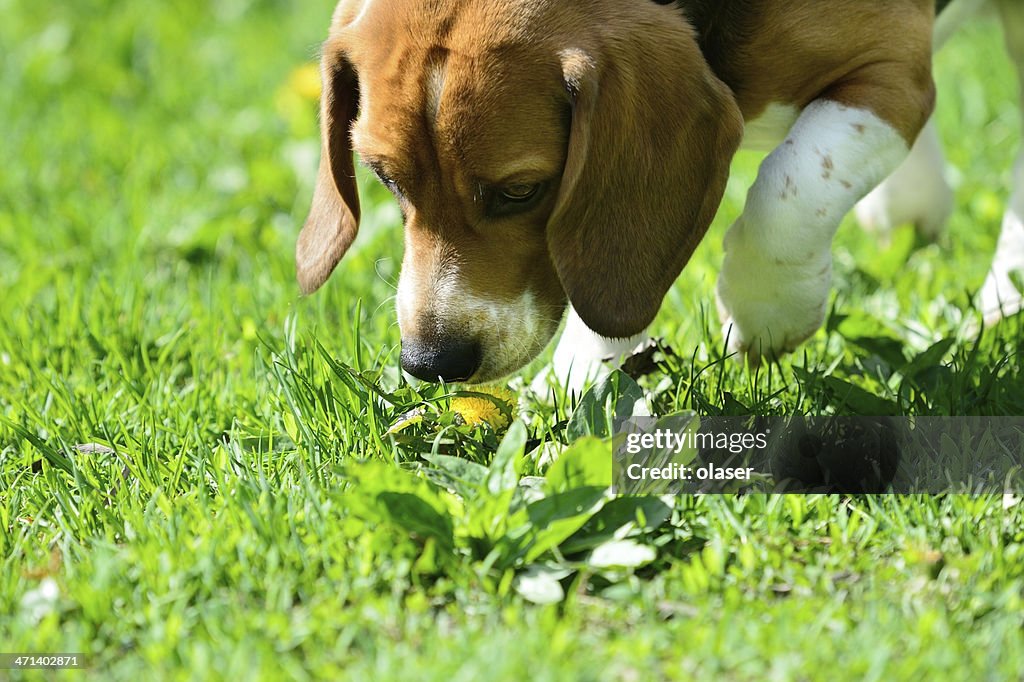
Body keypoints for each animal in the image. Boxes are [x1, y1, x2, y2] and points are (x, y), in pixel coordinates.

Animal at [296, 0, 1024, 382]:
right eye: (387, 178)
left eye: (521, 191)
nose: (431, 362)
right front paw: (582, 382)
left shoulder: (892, 71)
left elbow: (787, 191)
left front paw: (766, 314)